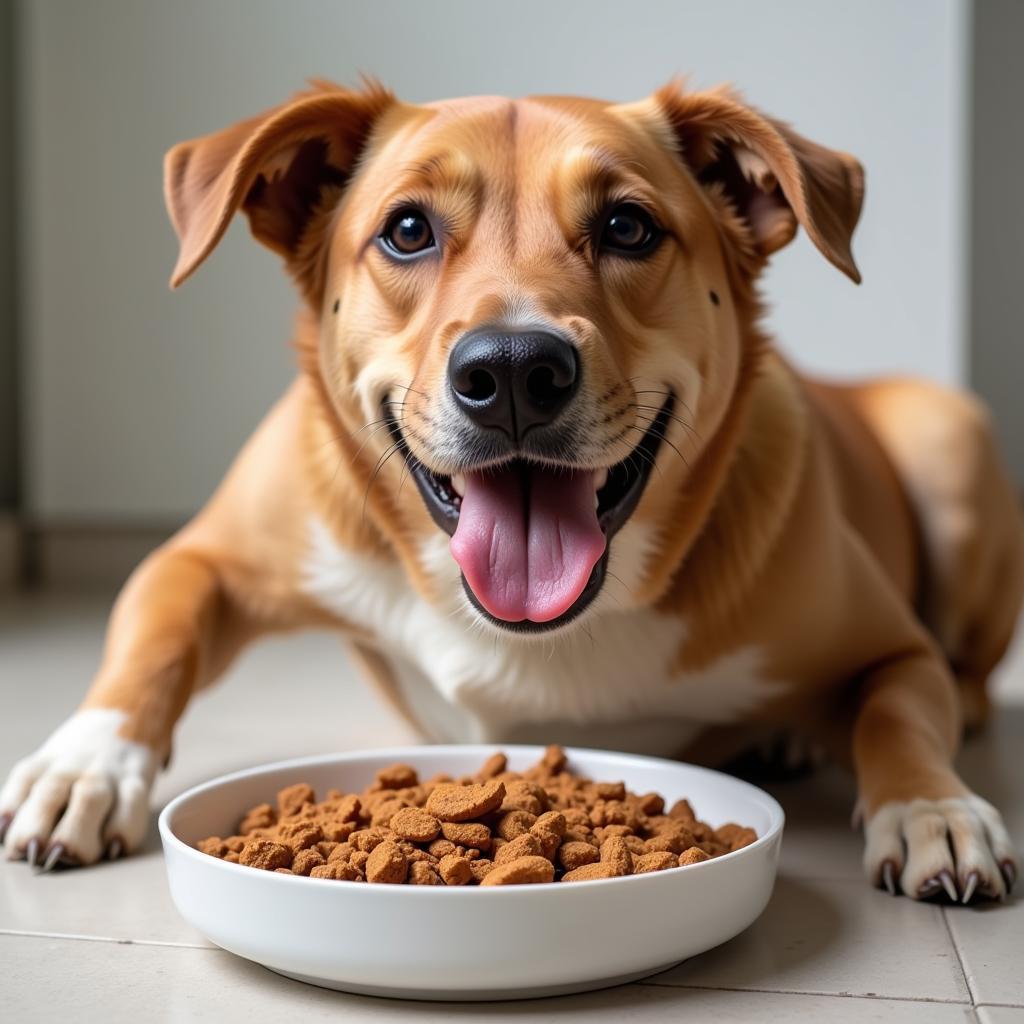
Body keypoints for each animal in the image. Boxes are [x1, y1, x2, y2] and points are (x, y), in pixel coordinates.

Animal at [4, 75, 1019, 901]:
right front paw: (82, 766)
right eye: (407, 230)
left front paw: (933, 809)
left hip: (950, 438)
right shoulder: (208, 558)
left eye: (628, 226)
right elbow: (156, 640)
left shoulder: (893, 645)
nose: (515, 372)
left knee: (960, 680)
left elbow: (898, 711)